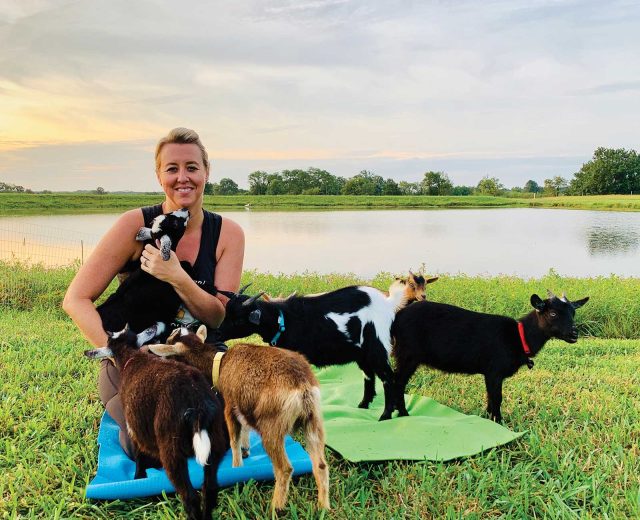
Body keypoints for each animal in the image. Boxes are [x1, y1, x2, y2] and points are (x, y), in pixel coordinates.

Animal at [84, 324, 226, 520]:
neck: (132, 358)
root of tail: (197, 405)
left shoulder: (134, 426)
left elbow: (139, 454)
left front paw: (138, 478)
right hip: (216, 441)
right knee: (209, 490)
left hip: (171, 448)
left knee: (190, 497)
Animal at [150, 324, 330, 512]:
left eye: (169, 342)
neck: (220, 364)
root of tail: (303, 387)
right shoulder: (242, 405)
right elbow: (244, 427)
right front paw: (246, 450)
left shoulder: (230, 404)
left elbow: (233, 441)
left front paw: (237, 468)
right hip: (313, 420)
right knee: (321, 465)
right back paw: (323, 507)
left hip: (271, 425)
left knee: (284, 468)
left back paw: (275, 508)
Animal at [218, 282, 402, 420]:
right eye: (226, 313)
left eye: (238, 320)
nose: (218, 332)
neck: (282, 319)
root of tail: (388, 302)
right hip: (361, 353)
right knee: (369, 375)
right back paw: (364, 405)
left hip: (377, 345)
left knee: (388, 377)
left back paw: (386, 415)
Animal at [390, 290, 592, 424]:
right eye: (552, 313)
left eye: (573, 312)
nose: (574, 334)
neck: (519, 337)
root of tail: (396, 317)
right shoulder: (494, 371)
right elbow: (497, 398)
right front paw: (498, 422)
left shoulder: (489, 374)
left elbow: (489, 397)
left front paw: (488, 419)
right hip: (407, 354)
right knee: (397, 382)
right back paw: (403, 414)